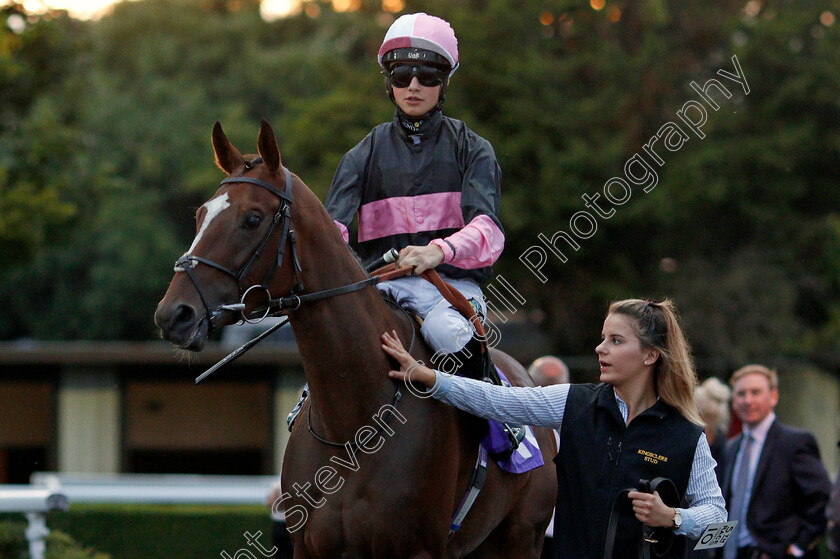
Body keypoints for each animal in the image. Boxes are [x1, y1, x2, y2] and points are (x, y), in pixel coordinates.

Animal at [153, 122, 556, 559]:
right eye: (200, 215)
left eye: (253, 218)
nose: (174, 314)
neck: (352, 424)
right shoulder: (309, 547)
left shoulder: (417, 549)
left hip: (521, 537)